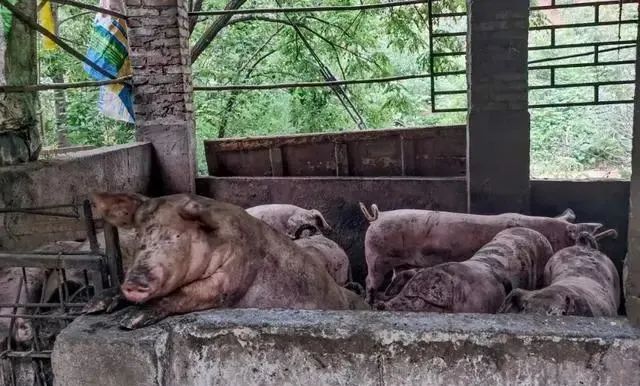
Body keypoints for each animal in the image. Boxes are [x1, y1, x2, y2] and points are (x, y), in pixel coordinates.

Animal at [360, 202, 604, 304]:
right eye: (577, 237)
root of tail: (377, 216)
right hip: (375, 256)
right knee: (369, 280)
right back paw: (371, 302)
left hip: (398, 262)